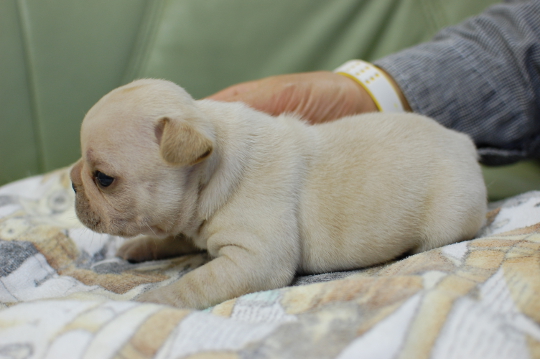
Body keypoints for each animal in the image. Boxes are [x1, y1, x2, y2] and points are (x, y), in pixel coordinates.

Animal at [69, 80, 488, 310]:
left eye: (103, 179)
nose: (72, 180)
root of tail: (464, 143)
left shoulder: (255, 259)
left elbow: (196, 282)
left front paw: (155, 301)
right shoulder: (188, 225)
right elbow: (172, 239)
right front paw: (140, 247)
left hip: (446, 223)